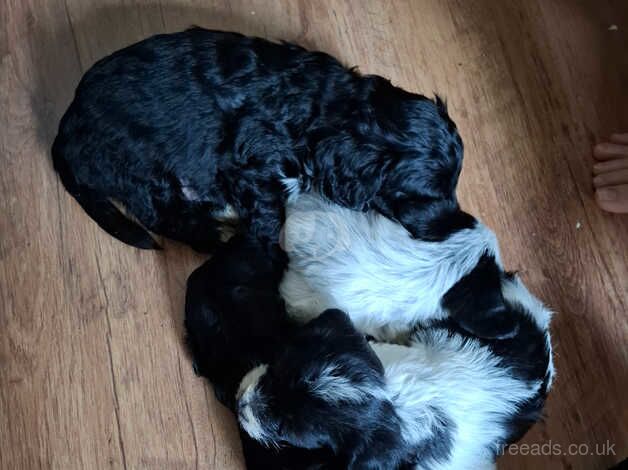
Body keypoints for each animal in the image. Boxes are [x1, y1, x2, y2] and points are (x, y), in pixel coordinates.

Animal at [52, 27, 466, 252]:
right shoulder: (249, 165)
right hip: (140, 163)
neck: (331, 113)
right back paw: (211, 235)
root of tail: (66, 123)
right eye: (426, 196)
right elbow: (269, 214)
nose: (459, 225)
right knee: (161, 214)